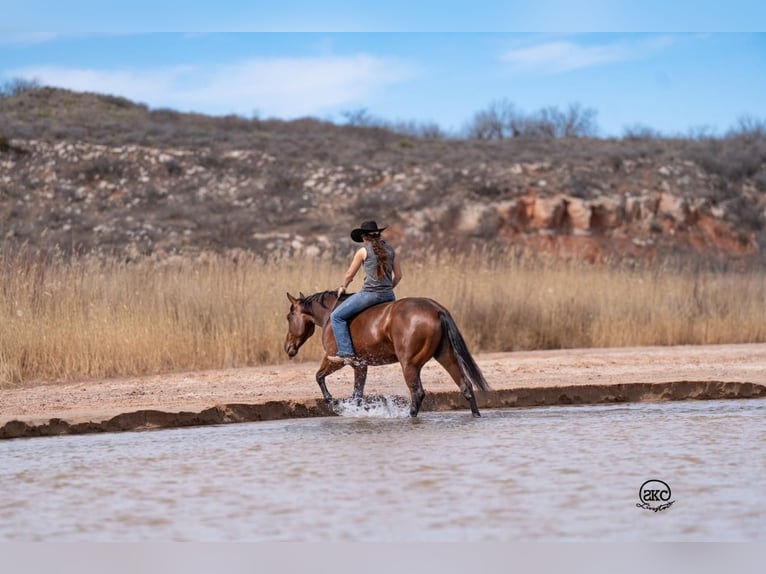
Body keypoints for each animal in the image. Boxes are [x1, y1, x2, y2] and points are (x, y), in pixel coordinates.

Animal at [286, 292, 492, 418]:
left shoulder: (335, 360)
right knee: (465, 385)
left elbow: (319, 376)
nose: (288, 348)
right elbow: (357, 394)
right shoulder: (360, 366)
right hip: (446, 356)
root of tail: (436, 309)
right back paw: (476, 415)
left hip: (409, 364)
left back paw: (409, 417)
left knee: (417, 393)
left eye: (289, 317)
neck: (330, 315)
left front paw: (334, 403)